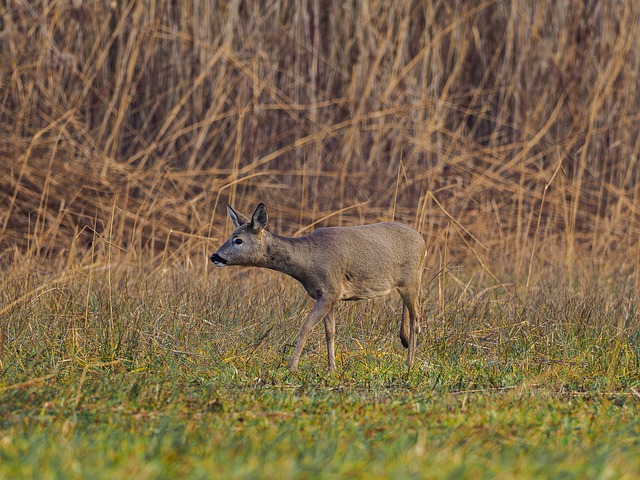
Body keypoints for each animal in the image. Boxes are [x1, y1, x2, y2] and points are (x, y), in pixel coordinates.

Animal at [210, 203, 427, 371]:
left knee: (417, 320)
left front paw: (292, 366)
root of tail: (423, 241)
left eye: (238, 240)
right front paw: (332, 367)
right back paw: (404, 344)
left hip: (412, 279)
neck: (308, 262)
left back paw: (409, 363)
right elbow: (330, 332)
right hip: (404, 284)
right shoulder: (327, 295)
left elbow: (306, 326)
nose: (214, 256)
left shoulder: (330, 290)